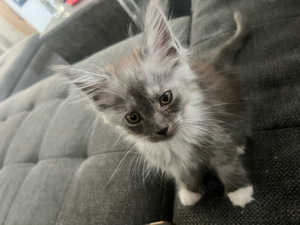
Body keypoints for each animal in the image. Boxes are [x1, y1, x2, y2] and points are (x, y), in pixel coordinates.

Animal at [54, 0, 253, 207]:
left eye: (165, 98)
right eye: (133, 117)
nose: (162, 129)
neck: (176, 142)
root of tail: (216, 67)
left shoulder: (216, 135)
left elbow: (227, 165)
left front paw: (239, 191)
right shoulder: (174, 164)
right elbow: (185, 175)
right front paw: (191, 192)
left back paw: (238, 145)